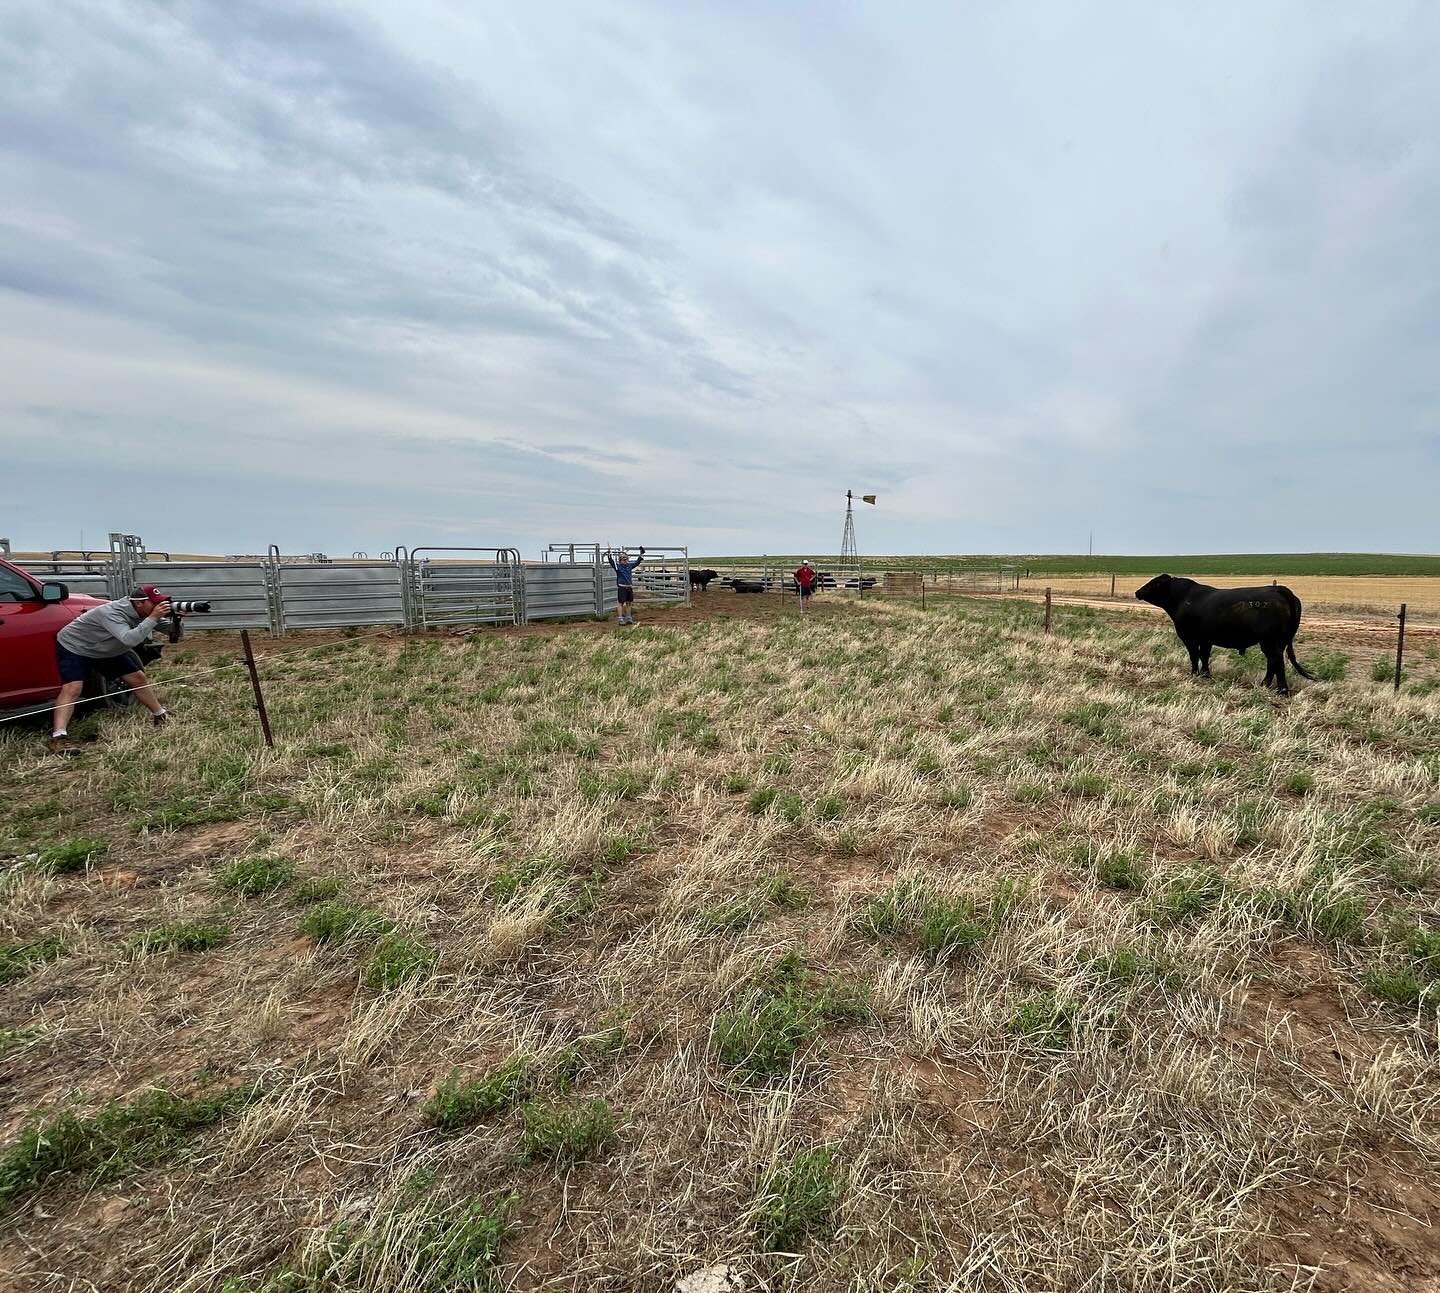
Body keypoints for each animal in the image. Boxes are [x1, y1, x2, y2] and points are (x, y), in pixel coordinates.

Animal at [1135, 575, 1317, 695]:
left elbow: (1194, 655)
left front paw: (1194, 674)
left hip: (1270, 641)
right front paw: (1206, 675)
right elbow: (1204, 655)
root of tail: (1278, 588)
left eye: (1154, 583)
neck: (1183, 599)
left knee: (1277, 661)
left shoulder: (1188, 636)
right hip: (1278, 641)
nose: (1137, 592)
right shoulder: (1205, 638)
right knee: (1272, 661)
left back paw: (1282, 690)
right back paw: (1264, 684)